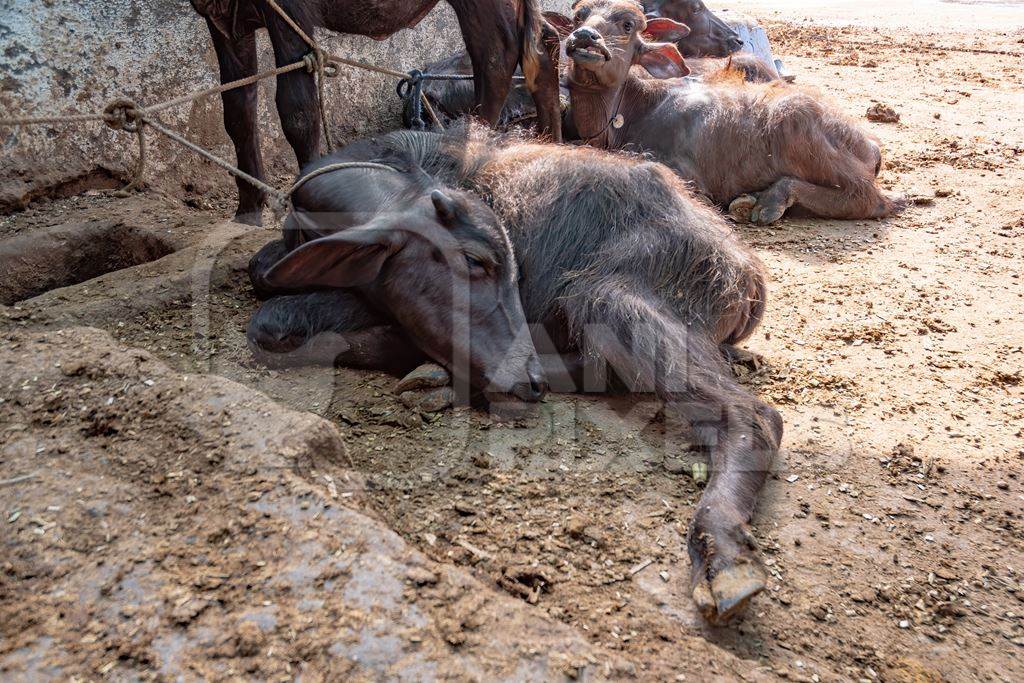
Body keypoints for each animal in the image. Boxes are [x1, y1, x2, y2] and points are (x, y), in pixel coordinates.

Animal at [245, 125, 782, 622]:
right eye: (475, 260)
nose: (528, 380)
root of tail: (747, 270)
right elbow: (261, 275)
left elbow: (276, 319)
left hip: (608, 295)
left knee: (752, 416)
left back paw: (722, 557)